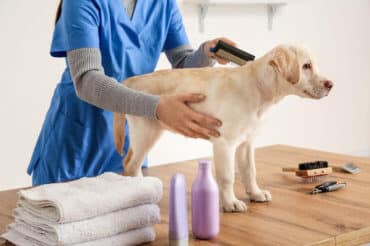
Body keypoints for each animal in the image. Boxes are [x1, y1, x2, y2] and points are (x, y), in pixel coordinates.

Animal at [112, 44, 332, 211]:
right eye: (306, 66)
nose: (331, 85)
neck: (258, 86)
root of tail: (131, 81)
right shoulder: (225, 143)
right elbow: (227, 176)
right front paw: (231, 203)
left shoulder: (246, 144)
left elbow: (249, 171)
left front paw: (256, 193)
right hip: (146, 132)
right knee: (130, 163)